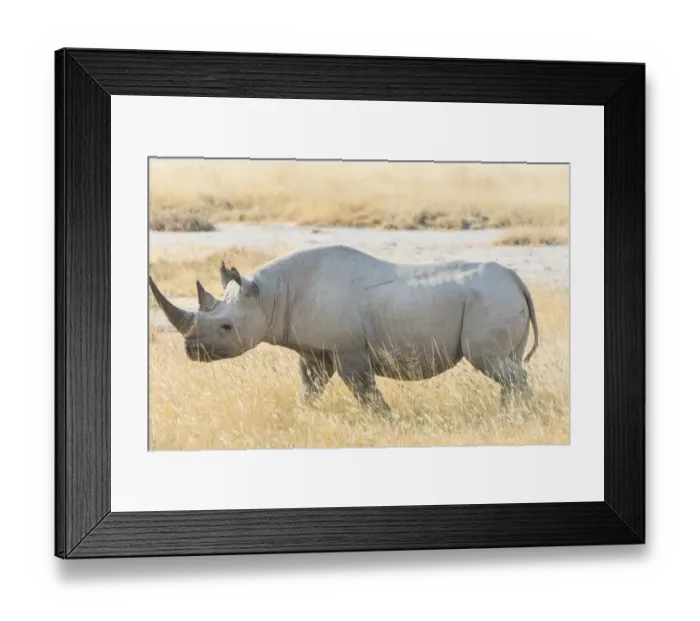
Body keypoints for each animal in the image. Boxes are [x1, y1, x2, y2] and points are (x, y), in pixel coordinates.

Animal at [149, 244, 539, 412]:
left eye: (226, 327)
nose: (191, 351)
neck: (269, 296)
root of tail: (518, 279)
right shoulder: (315, 350)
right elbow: (310, 386)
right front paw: (303, 415)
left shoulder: (349, 348)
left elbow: (364, 390)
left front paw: (386, 420)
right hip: (498, 297)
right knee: (508, 364)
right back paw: (509, 415)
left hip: (491, 300)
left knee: (493, 363)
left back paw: (516, 417)